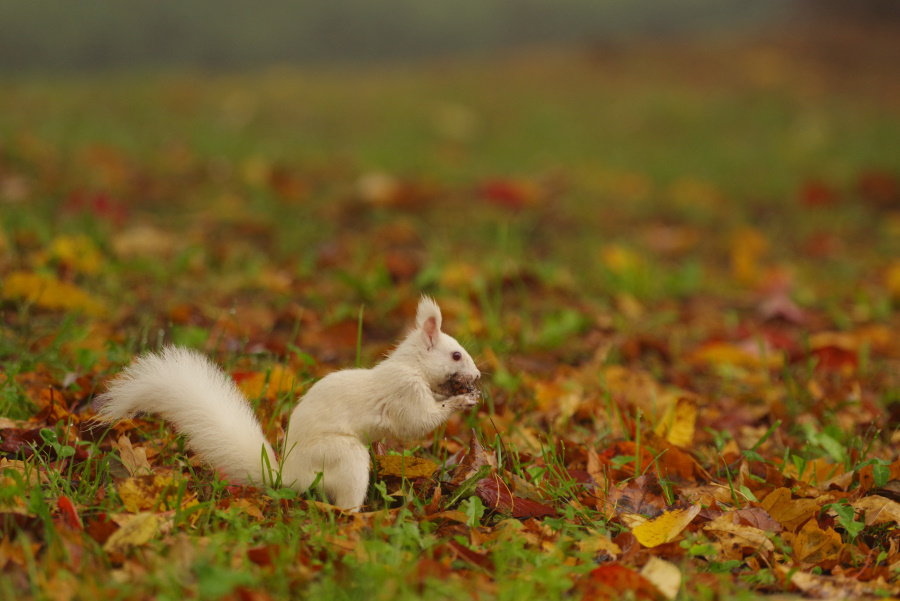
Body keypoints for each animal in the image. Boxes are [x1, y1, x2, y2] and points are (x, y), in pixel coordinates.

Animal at [94, 298, 482, 508]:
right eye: (456, 354)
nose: (478, 375)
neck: (411, 365)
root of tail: (286, 476)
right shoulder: (404, 391)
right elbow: (417, 422)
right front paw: (460, 400)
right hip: (342, 457)